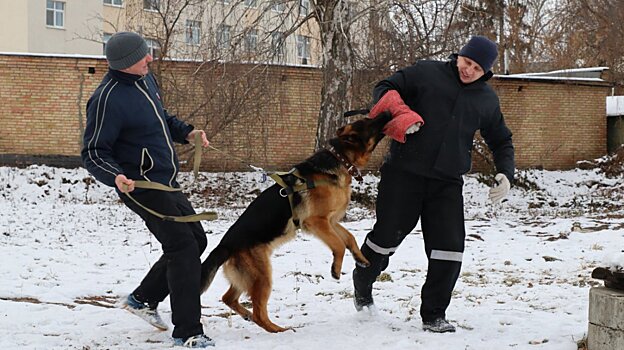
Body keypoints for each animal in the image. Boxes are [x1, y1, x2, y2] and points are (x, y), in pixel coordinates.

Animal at [201, 113, 390, 334]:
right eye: (368, 122)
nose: (387, 114)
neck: (340, 160)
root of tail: (225, 245)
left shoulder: (331, 221)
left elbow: (349, 238)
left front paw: (361, 258)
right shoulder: (316, 222)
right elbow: (339, 245)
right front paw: (335, 269)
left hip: (249, 275)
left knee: (229, 298)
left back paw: (248, 315)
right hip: (262, 276)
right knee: (258, 313)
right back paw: (278, 330)